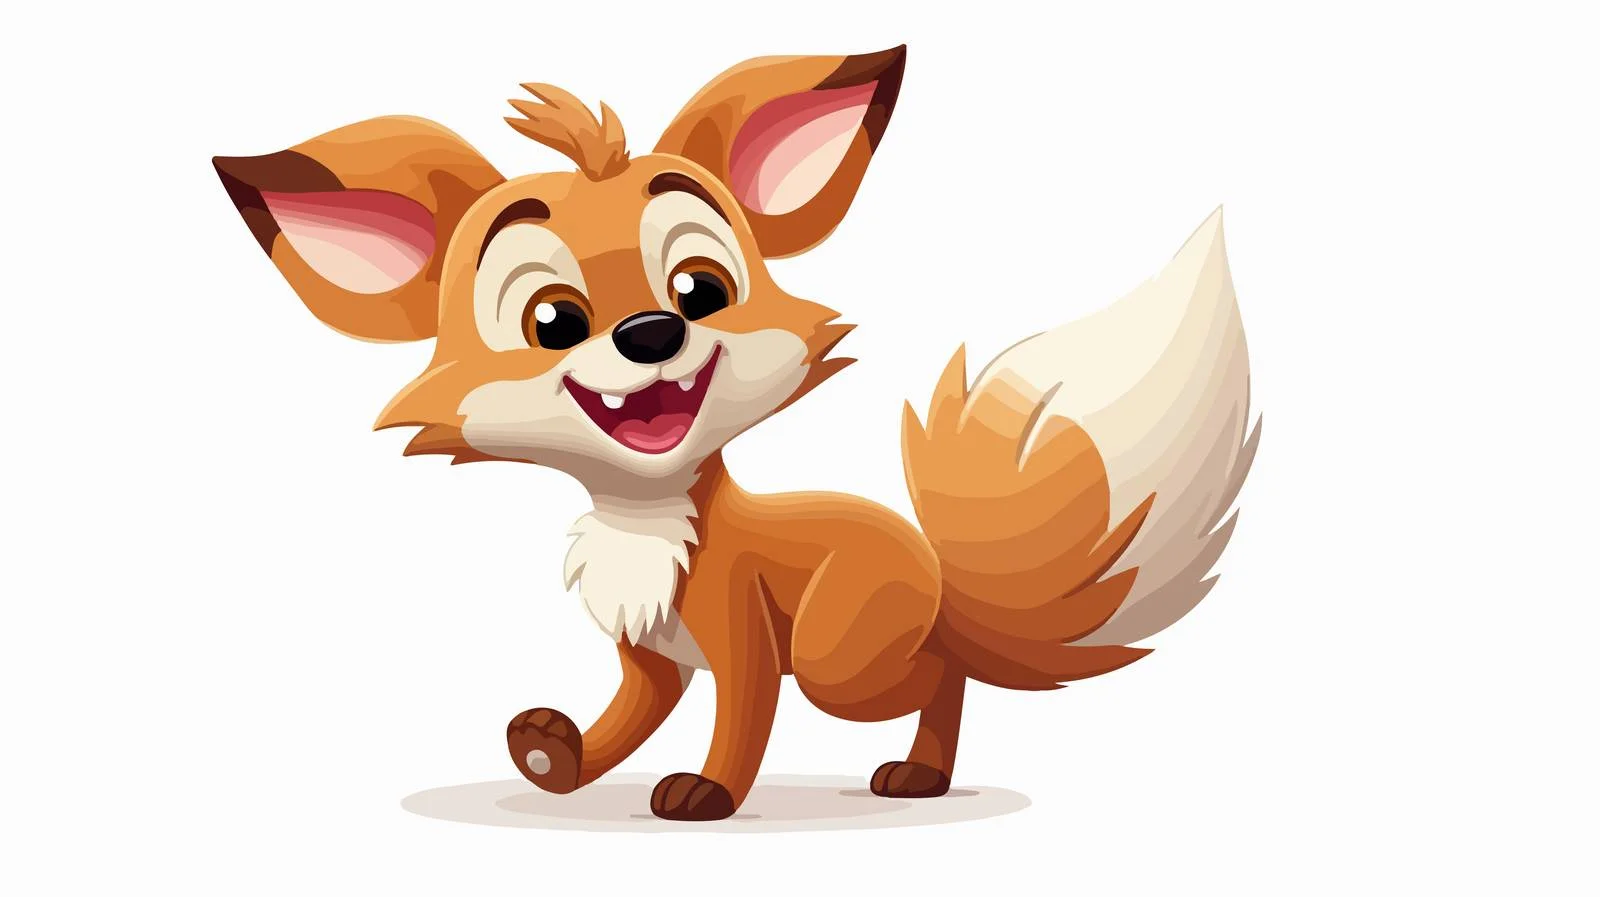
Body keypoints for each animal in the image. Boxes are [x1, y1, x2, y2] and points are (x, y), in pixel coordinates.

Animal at [213, 45, 1258, 822]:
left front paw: (707, 792)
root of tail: (931, 557)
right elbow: (626, 719)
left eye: (700, 289)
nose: (652, 333)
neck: (648, 518)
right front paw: (557, 756)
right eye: (552, 320)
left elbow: (744, 717)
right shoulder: (648, 656)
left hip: (842, 655)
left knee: (940, 671)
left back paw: (921, 772)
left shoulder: (743, 631)